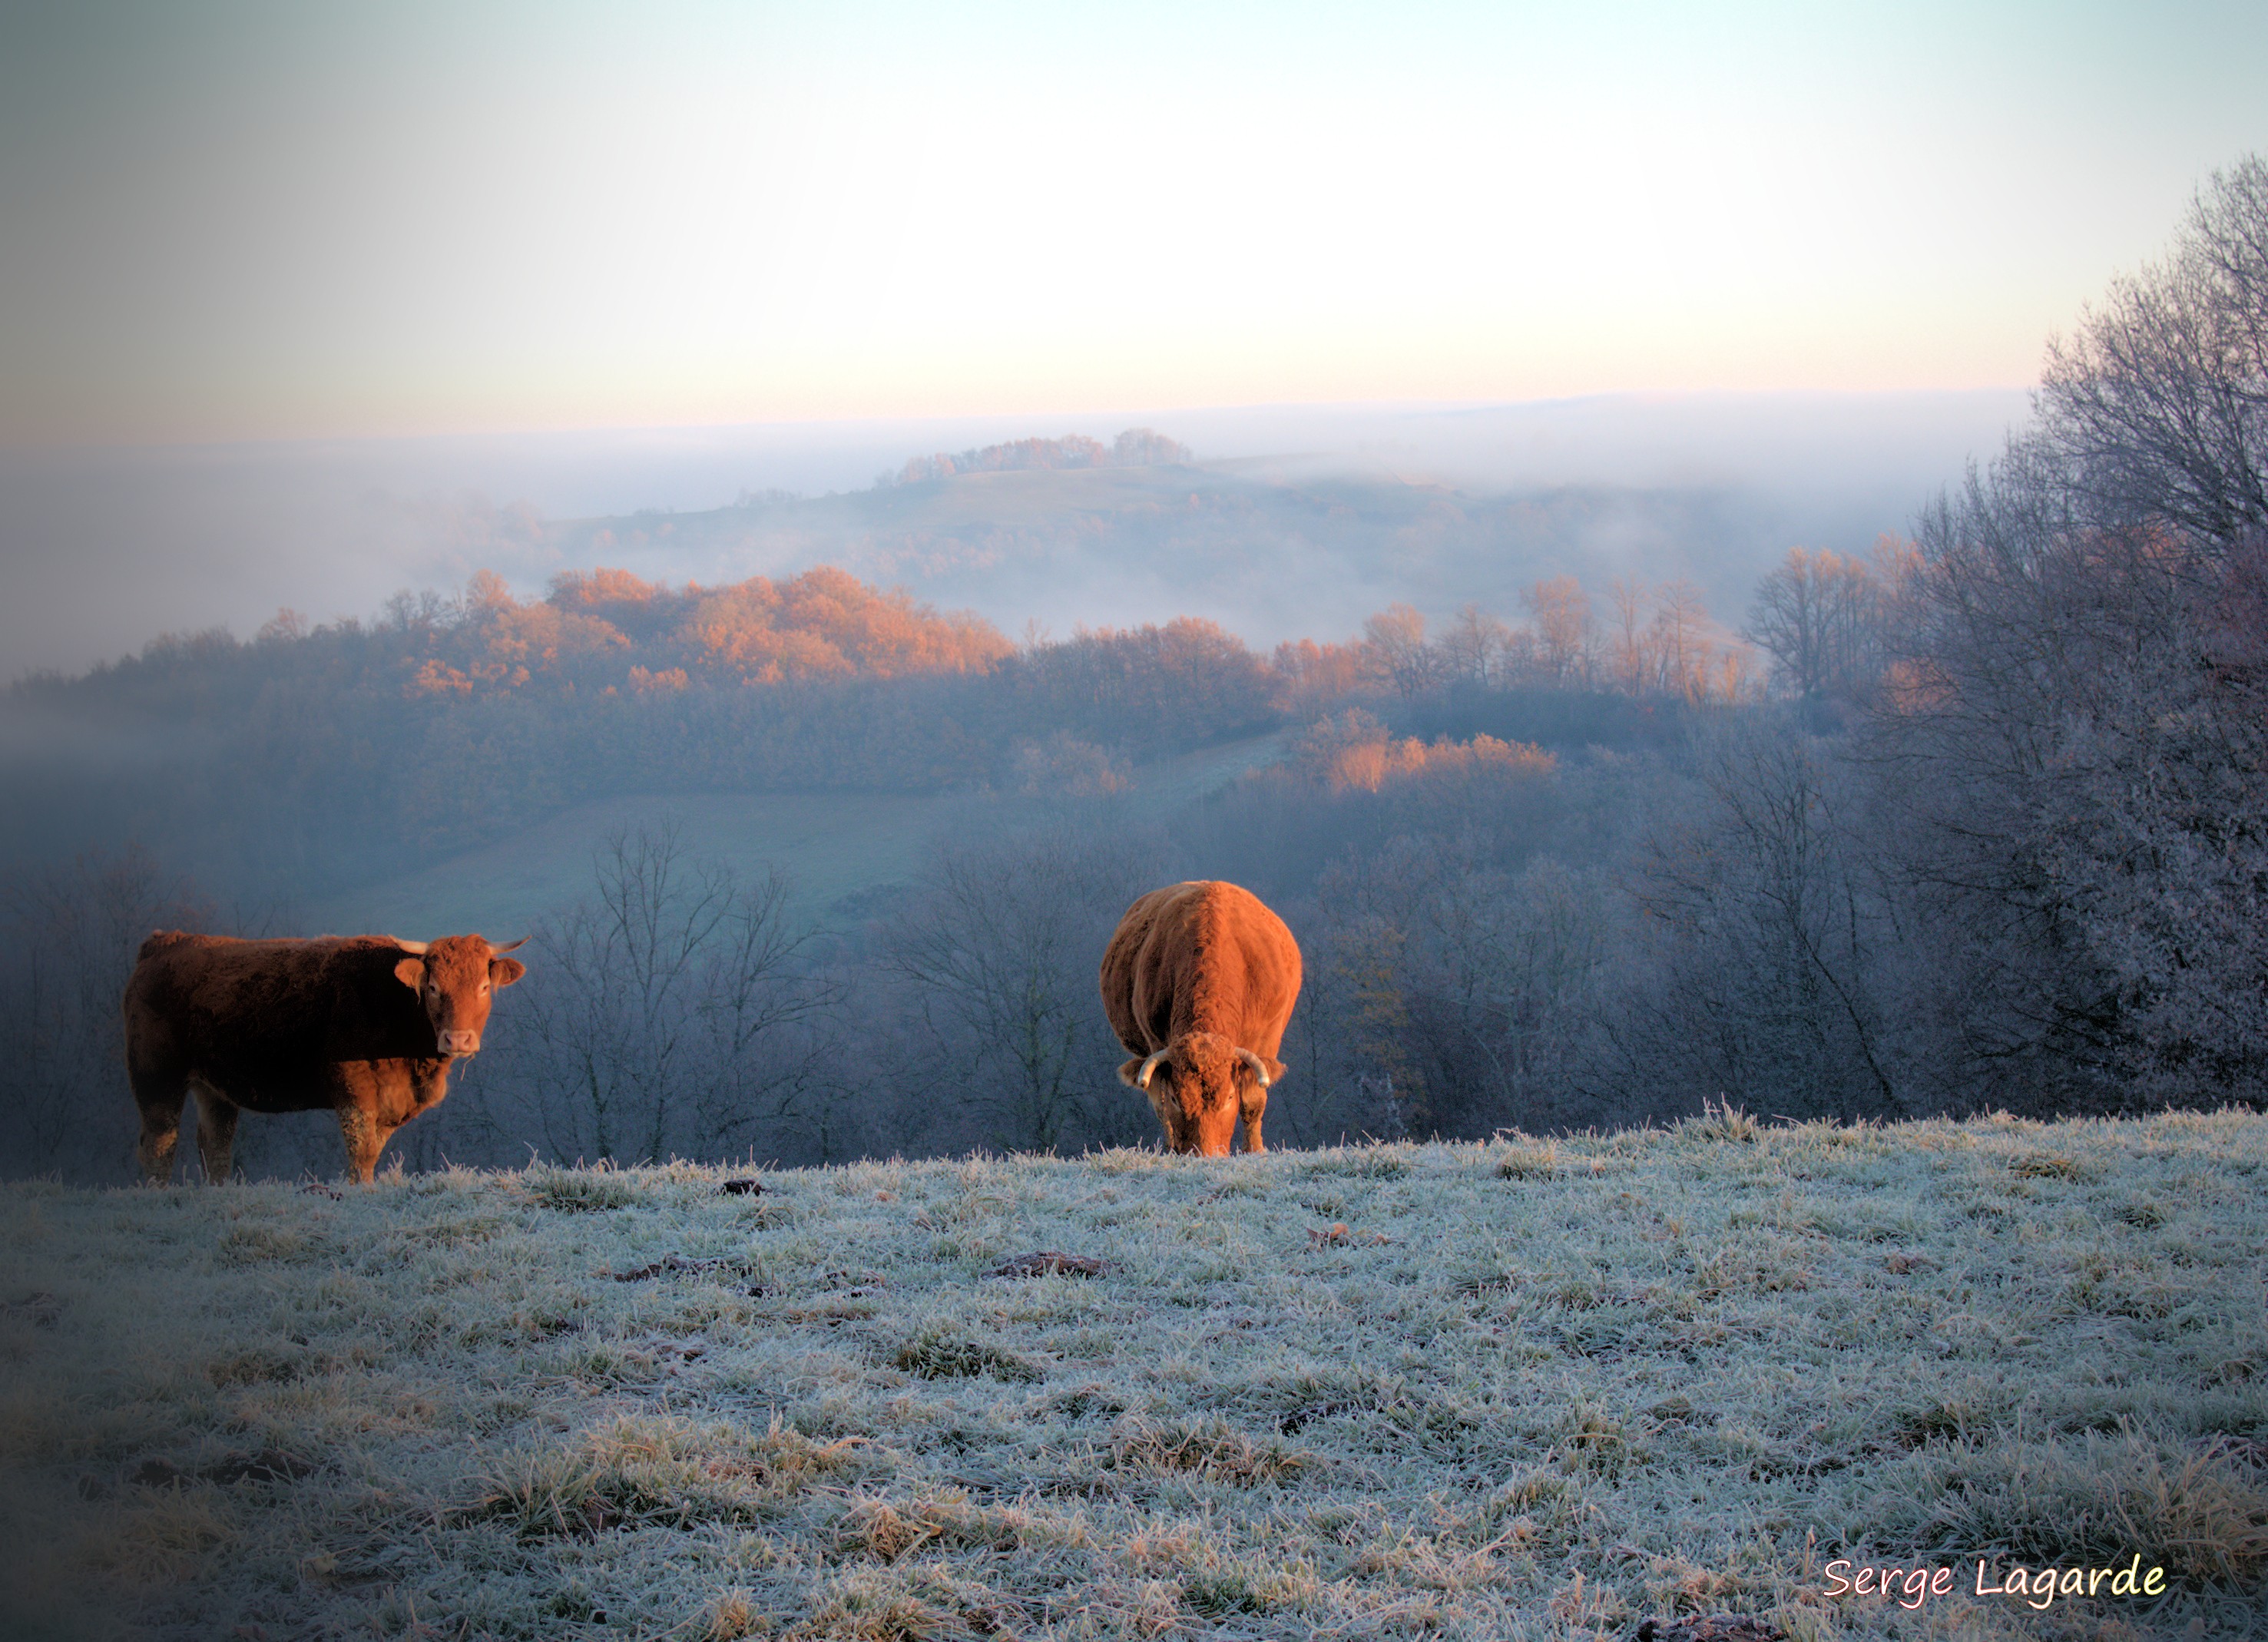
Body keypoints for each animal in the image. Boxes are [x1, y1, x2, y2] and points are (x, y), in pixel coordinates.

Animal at [125, 929, 531, 1188]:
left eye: (483, 986)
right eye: (432, 987)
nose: (457, 1039)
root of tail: (164, 942)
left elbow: (374, 1147)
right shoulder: (354, 1088)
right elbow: (361, 1146)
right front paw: (359, 1190)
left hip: (214, 1088)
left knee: (215, 1145)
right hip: (156, 1077)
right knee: (159, 1143)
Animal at [1102, 884, 1306, 1157]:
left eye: (1229, 1097)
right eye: (1177, 1099)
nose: (1205, 1155)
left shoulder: (1266, 1041)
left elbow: (1253, 1103)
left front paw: (1255, 1150)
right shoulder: (1156, 1042)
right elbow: (1163, 1104)